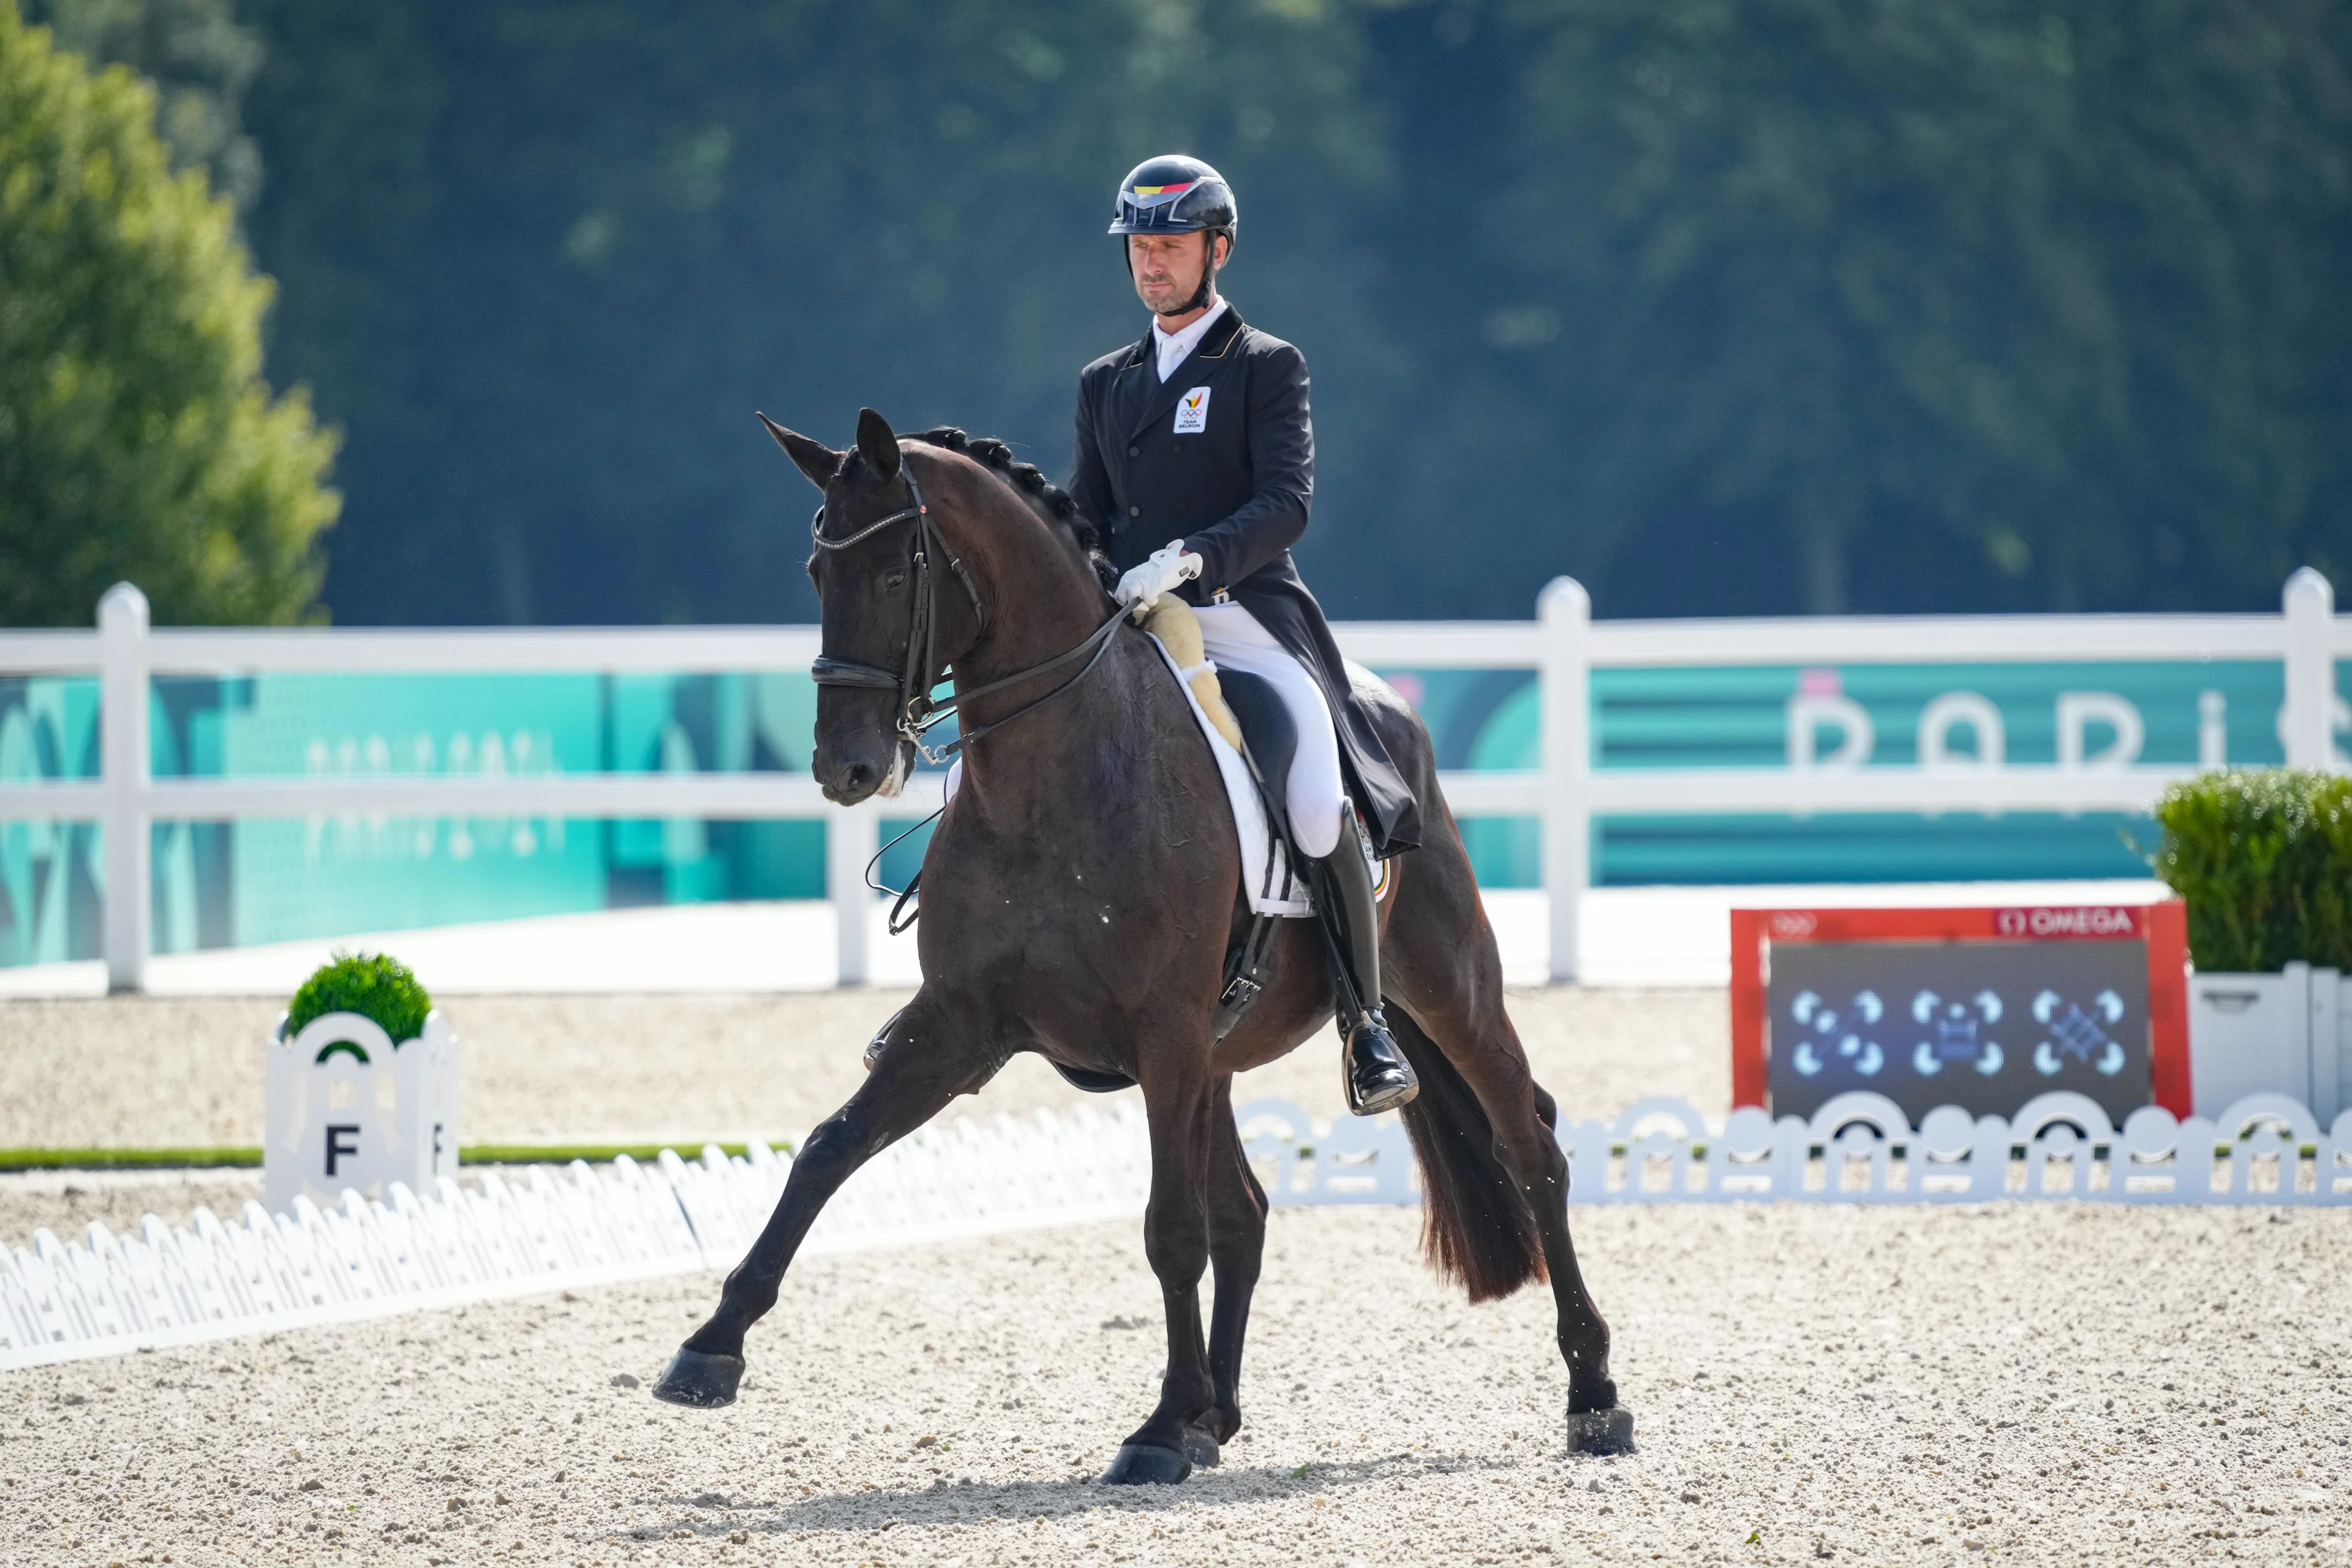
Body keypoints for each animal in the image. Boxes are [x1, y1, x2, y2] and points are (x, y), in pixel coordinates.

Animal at [649, 411, 1637, 1476]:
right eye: (816, 571)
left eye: (893, 570)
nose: (847, 767)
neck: (1052, 781)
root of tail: (1384, 706)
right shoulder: (958, 1027)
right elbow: (827, 1150)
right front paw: (708, 1350)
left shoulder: (1161, 1035)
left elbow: (1170, 1230)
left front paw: (1159, 1430)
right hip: (1220, 1055)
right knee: (1246, 1210)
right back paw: (1219, 1415)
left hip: (1445, 987)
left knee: (1531, 1151)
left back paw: (1595, 1396)